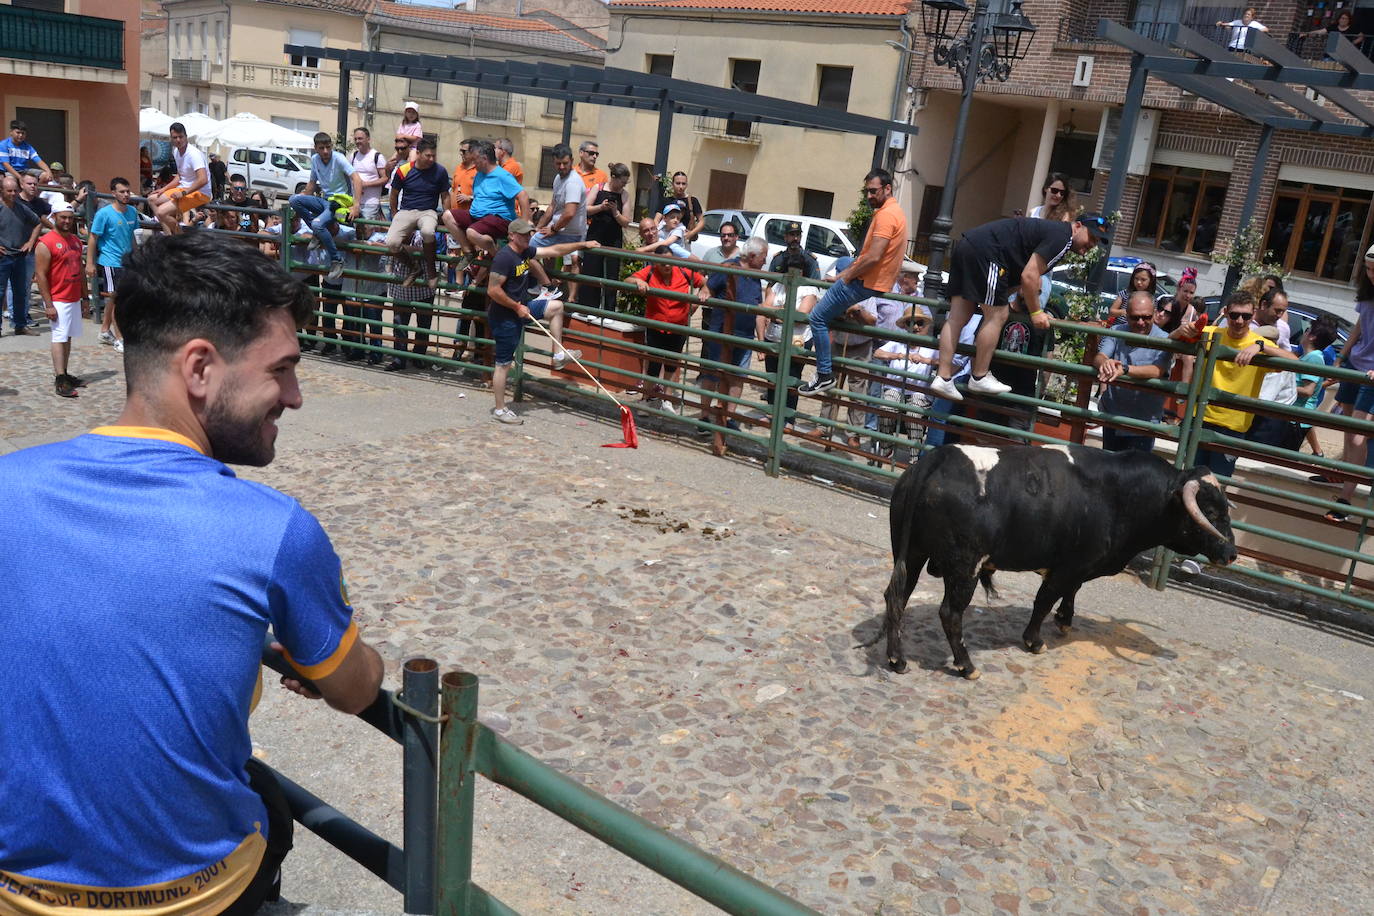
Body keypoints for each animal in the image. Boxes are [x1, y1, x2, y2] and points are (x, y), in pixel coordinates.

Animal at [873, 444, 1242, 681]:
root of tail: (938, 457)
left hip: (912, 554)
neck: (1123, 495)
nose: (1231, 553)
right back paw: (967, 666)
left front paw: (1065, 619)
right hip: (965, 567)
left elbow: (1070, 592)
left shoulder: (1077, 565)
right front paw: (1034, 640)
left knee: (897, 597)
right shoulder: (1068, 566)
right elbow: (1044, 600)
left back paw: (896, 659)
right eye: (1211, 512)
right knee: (950, 613)